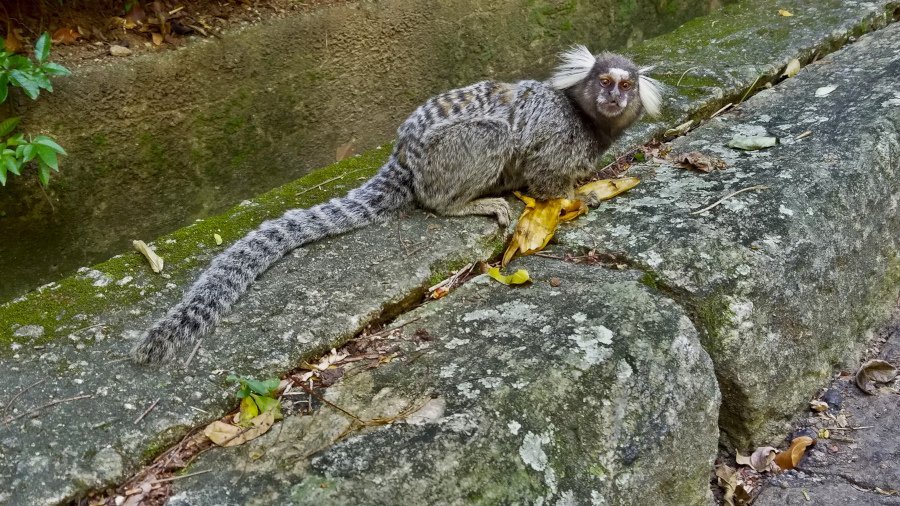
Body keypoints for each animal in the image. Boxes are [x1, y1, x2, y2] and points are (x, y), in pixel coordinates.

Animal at [137, 46, 664, 364]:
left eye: (625, 86)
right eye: (604, 82)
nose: (615, 98)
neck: (584, 118)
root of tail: (405, 153)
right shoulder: (553, 137)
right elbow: (546, 177)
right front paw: (576, 196)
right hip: (445, 159)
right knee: (475, 154)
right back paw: (463, 204)